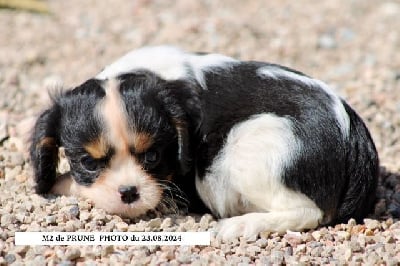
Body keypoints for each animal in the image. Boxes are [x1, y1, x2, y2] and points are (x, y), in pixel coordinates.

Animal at [30, 45, 378, 241]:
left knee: (309, 210)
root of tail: (355, 135)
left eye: (153, 157)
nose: (129, 193)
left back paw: (242, 225)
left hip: (252, 145)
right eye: (89, 163)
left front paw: (61, 183)